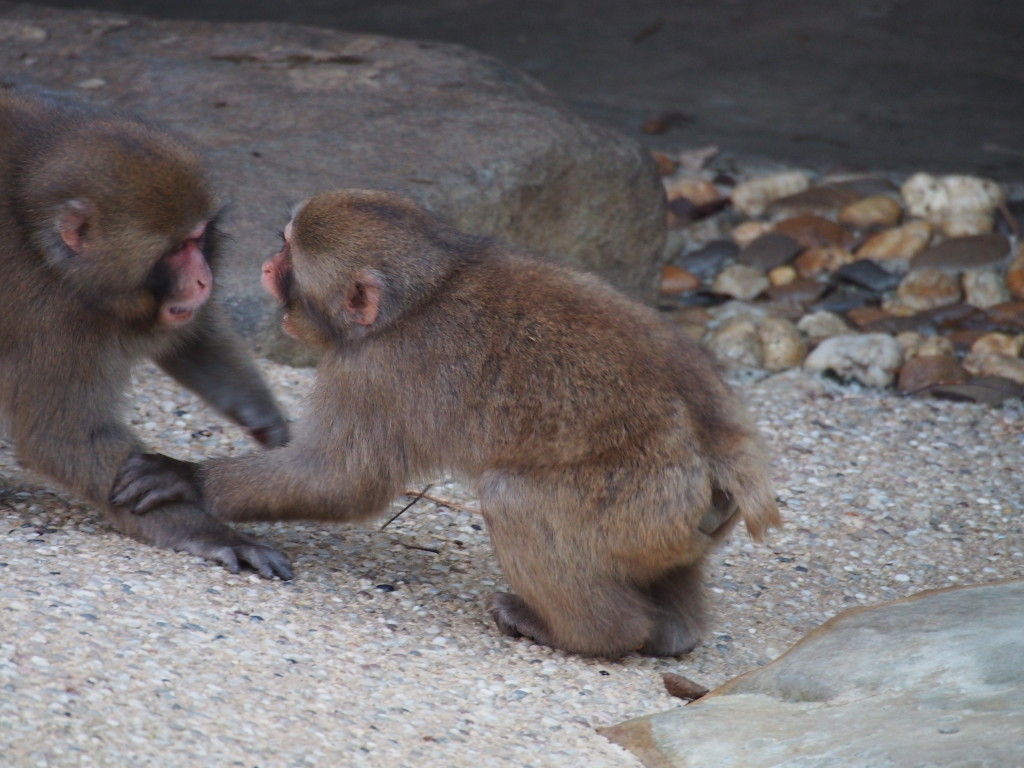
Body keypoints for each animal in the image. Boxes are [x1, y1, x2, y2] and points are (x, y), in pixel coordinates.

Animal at [3, 90, 292, 581]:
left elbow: (190, 333)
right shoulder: (52, 320)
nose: (204, 279)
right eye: (176, 250)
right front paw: (216, 535)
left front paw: (263, 416)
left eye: (198, 238)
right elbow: (62, 438)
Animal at [116, 189, 778, 659]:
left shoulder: (374, 372)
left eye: (287, 260)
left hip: (637, 497)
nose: (262, 264)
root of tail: (719, 444)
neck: (428, 289)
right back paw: (675, 634)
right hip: (677, 521)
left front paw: (186, 478)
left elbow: (341, 481)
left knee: (512, 496)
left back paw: (592, 635)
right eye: (280, 244)